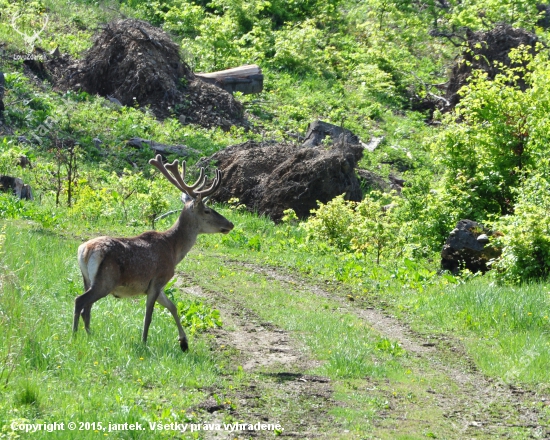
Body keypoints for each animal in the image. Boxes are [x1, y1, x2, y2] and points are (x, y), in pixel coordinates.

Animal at [74, 155, 235, 350]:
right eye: (207, 210)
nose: (230, 224)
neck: (174, 251)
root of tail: (84, 250)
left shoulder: (158, 285)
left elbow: (173, 306)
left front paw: (184, 342)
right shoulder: (158, 279)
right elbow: (149, 315)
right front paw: (144, 342)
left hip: (87, 279)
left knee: (87, 308)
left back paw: (89, 335)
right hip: (105, 280)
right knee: (80, 301)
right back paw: (74, 336)